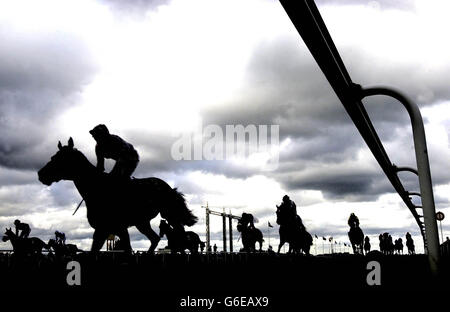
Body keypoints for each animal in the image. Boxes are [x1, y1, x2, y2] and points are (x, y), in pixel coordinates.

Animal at [36, 139, 195, 254]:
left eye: (61, 158)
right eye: (53, 157)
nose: (41, 174)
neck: (97, 189)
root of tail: (170, 188)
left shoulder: (118, 228)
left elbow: (128, 251)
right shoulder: (103, 230)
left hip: (170, 216)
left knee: (180, 237)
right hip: (142, 222)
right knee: (155, 238)